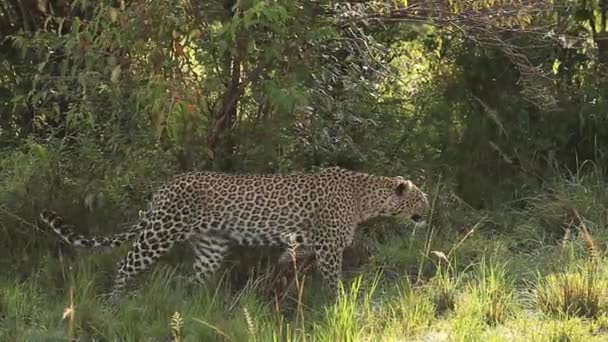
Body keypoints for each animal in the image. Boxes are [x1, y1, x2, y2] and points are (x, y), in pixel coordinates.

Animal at [39, 167, 428, 298]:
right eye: (421, 198)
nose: (428, 214)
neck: (367, 198)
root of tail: (164, 186)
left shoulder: (307, 244)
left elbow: (290, 262)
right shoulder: (329, 247)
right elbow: (333, 280)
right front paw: (337, 301)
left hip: (210, 247)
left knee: (195, 279)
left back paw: (194, 308)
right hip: (159, 232)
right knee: (124, 265)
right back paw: (113, 302)